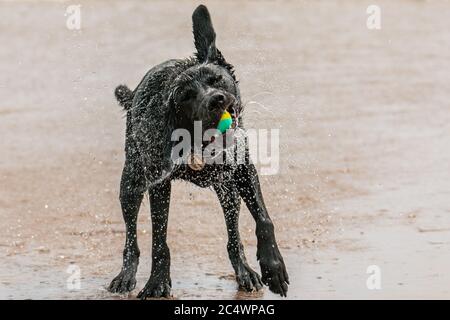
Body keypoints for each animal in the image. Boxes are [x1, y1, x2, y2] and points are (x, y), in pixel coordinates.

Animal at [109, 5, 288, 298]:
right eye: (186, 95)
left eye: (217, 79)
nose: (216, 99)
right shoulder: (159, 183)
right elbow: (159, 240)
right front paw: (157, 282)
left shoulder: (242, 167)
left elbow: (264, 220)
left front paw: (273, 267)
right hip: (131, 183)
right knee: (131, 238)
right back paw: (126, 275)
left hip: (228, 191)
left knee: (233, 236)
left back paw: (244, 271)